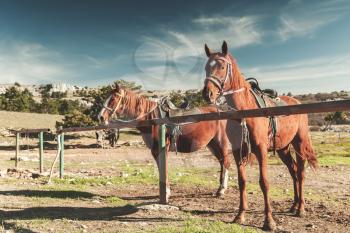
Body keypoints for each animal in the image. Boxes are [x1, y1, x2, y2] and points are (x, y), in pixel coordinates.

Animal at [98, 84, 232, 199]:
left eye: (113, 98)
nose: (100, 117)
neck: (153, 119)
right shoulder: (155, 151)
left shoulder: (162, 149)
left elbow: (163, 170)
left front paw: (166, 194)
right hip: (212, 144)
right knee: (222, 162)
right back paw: (221, 188)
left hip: (220, 142)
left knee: (225, 162)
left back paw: (221, 190)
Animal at [201, 41, 318, 230]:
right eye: (206, 67)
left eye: (222, 66)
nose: (207, 93)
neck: (246, 111)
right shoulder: (238, 152)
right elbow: (242, 182)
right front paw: (240, 215)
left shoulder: (261, 150)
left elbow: (264, 183)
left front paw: (269, 220)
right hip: (283, 149)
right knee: (293, 170)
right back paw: (293, 205)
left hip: (299, 144)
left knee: (300, 172)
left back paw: (301, 208)